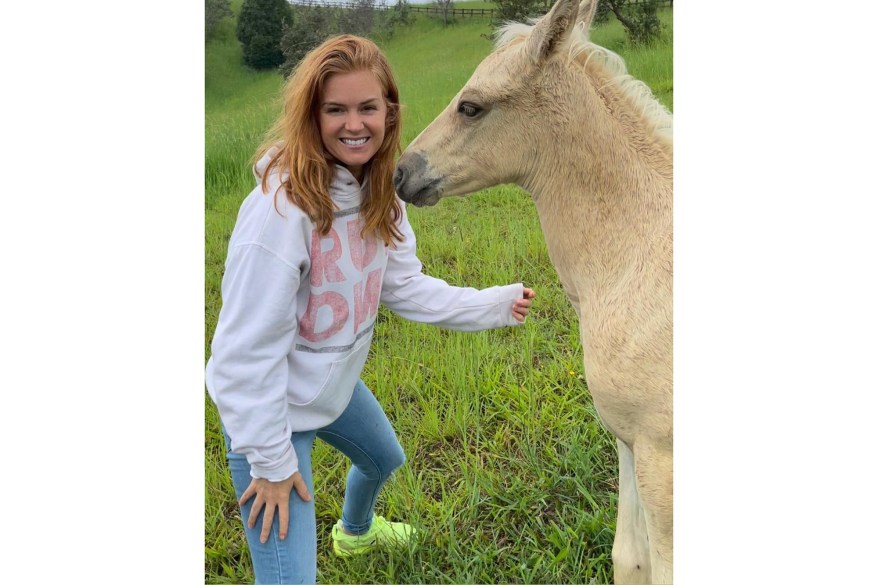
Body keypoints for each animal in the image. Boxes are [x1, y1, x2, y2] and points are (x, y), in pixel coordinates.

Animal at [396, 1, 676, 580]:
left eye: (471, 107)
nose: (402, 173)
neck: (635, 251)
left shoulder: (662, 458)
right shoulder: (630, 440)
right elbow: (629, 558)